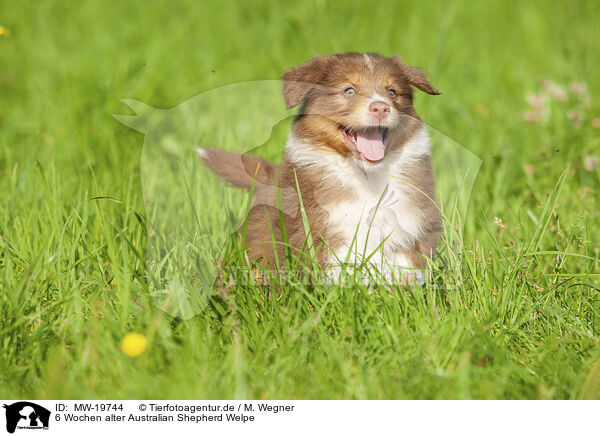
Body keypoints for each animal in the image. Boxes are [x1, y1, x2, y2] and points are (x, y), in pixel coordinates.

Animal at [199, 52, 442, 284]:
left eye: (392, 92)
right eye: (349, 90)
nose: (381, 107)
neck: (367, 175)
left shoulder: (412, 219)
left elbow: (407, 258)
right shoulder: (319, 224)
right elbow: (339, 262)